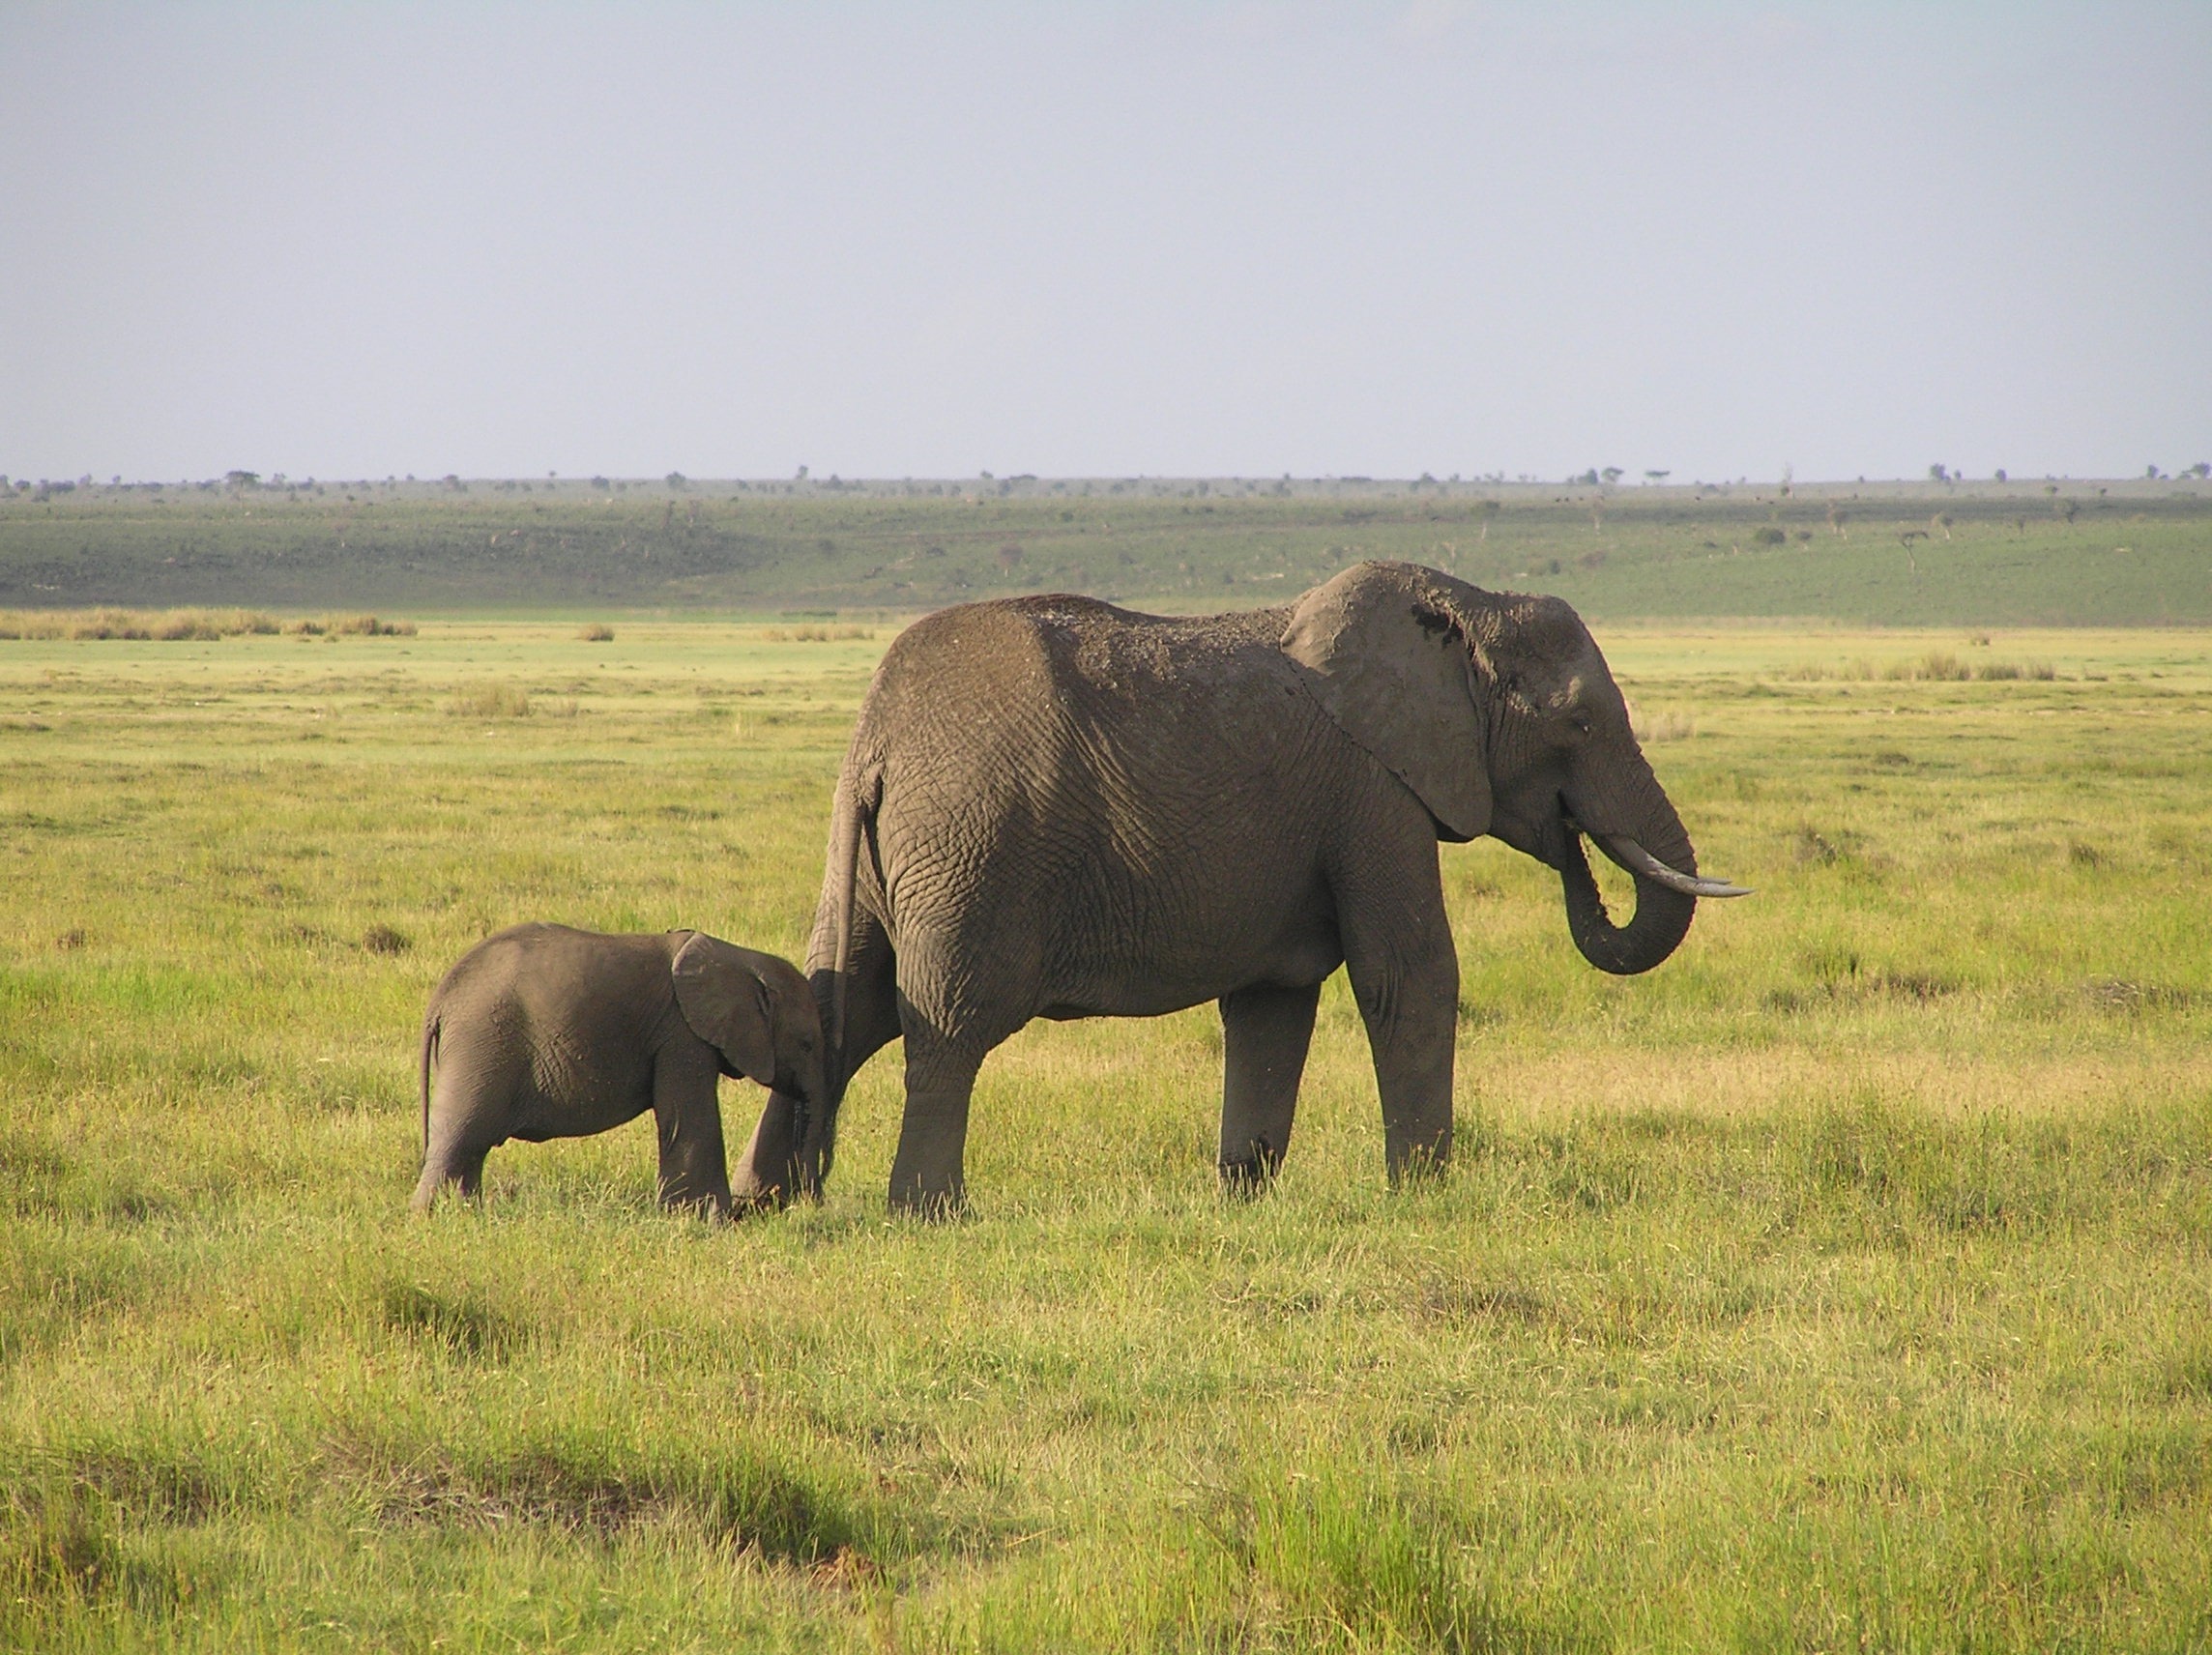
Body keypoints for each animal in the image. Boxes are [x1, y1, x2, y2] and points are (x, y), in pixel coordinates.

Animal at [412, 924, 823, 1216]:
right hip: (482, 1043)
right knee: (463, 1136)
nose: (807, 1202)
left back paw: (463, 1212)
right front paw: (708, 1221)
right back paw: (435, 1217)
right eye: (807, 1044)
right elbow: (691, 1118)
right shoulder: (682, 1035)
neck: (739, 958)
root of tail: (440, 1000)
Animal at [731, 560, 1746, 1214]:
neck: (1467, 607)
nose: (1578, 848)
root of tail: (874, 745)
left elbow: (1272, 1005)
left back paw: (759, 1204)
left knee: (842, 1006)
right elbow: (1408, 976)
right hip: (973, 846)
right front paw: (1423, 1197)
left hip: (886, 857)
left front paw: (1243, 1200)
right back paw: (927, 1213)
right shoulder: (1374, 790)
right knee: (947, 1025)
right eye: (1578, 720)